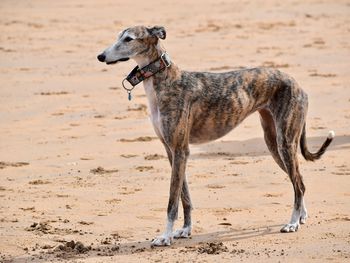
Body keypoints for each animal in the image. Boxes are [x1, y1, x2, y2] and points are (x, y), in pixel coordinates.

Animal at [97, 25, 334, 246]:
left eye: (129, 39)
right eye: (119, 37)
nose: (100, 56)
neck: (166, 80)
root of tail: (297, 83)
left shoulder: (180, 149)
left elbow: (172, 201)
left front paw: (165, 237)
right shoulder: (172, 151)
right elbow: (185, 196)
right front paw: (185, 230)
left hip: (285, 142)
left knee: (298, 183)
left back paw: (292, 223)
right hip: (273, 143)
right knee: (299, 181)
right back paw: (301, 216)